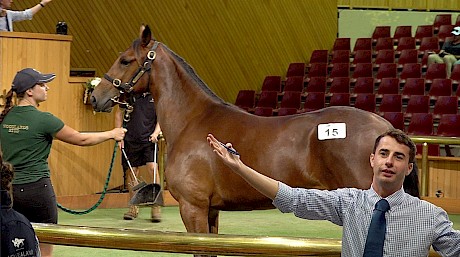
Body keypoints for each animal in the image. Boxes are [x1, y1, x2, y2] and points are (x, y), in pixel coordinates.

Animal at [90, 24, 416, 248]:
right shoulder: (211, 211)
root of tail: (384, 128)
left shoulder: (192, 208)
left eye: (125, 60)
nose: (95, 96)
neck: (192, 120)